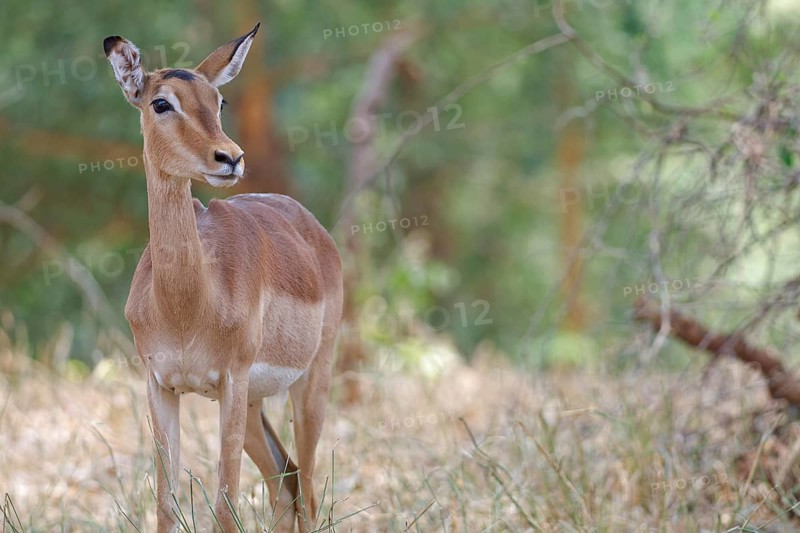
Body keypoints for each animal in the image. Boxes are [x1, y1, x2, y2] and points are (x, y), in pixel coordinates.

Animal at [104, 24, 342, 532]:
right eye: (161, 102)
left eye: (219, 100)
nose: (230, 158)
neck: (186, 304)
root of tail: (311, 226)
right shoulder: (160, 385)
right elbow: (165, 505)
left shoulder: (230, 381)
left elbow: (225, 504)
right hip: (253, 406)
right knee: (286, 480)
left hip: (309, 383)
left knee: (309, 488)